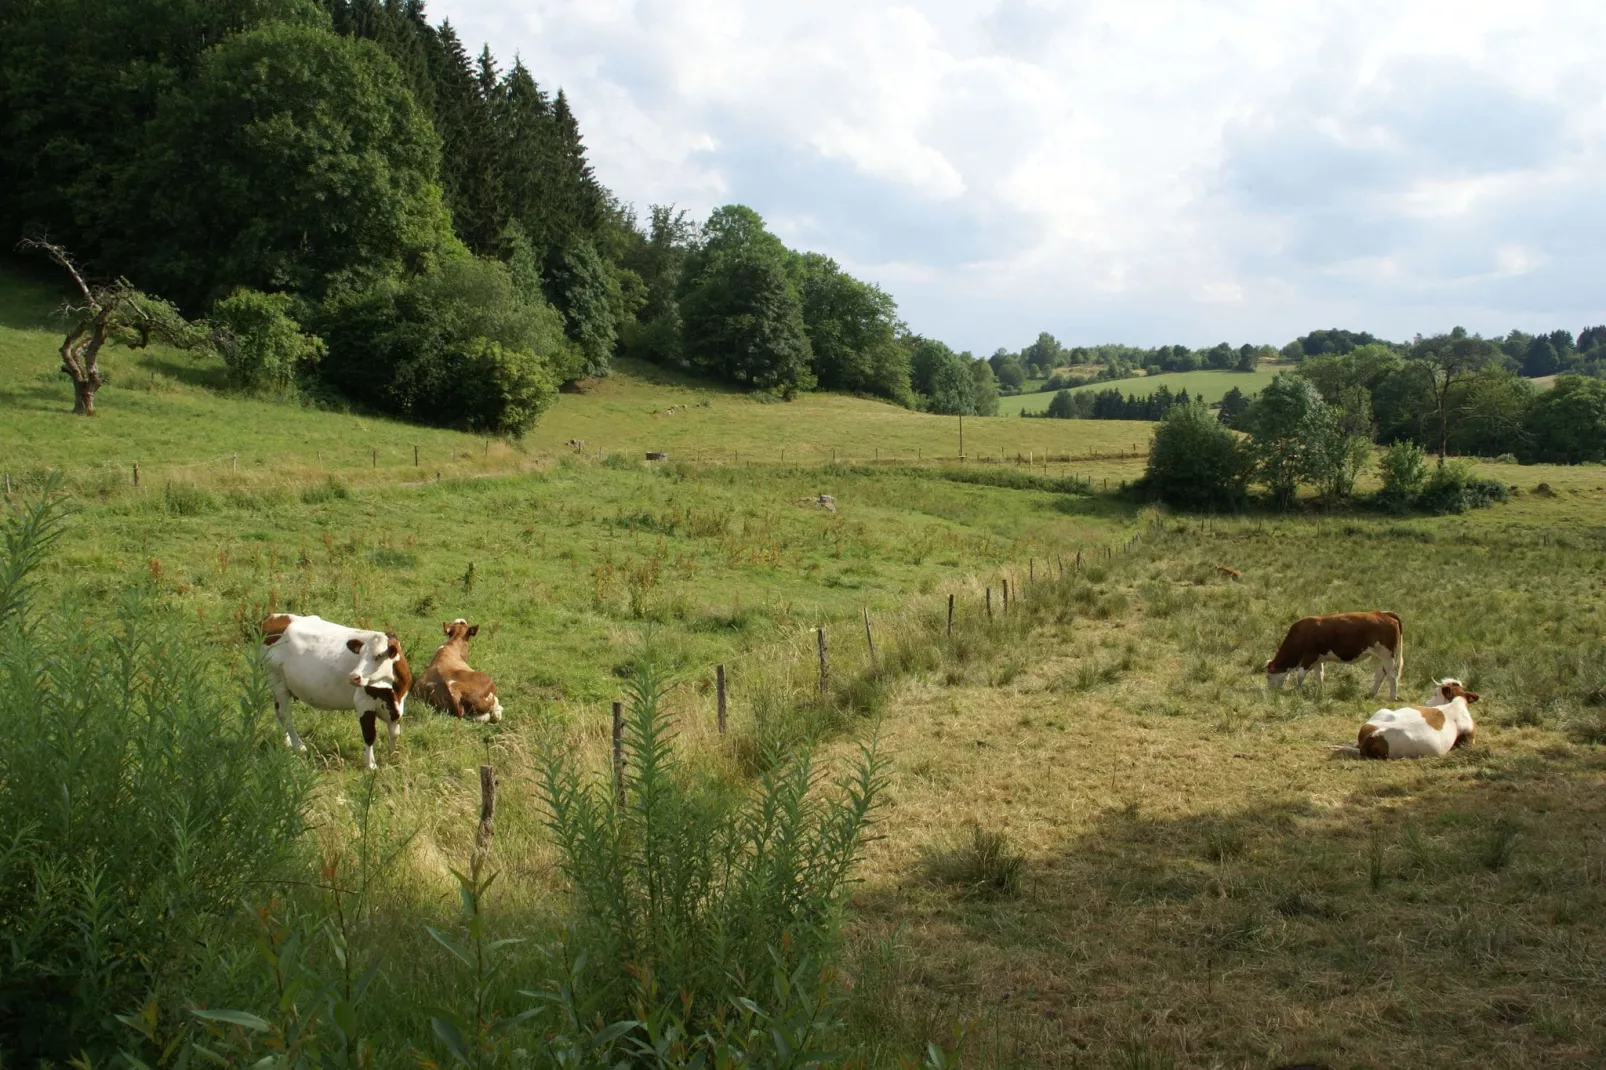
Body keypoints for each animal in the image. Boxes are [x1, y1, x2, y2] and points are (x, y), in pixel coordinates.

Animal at [255, 607, 407, 767]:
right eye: (359, 655)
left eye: (378, 656)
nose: (353, 676)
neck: (393, 691)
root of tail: (272, 617)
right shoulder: (363, 702)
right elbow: (370, 734)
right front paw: (370, 765)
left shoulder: (397, 704)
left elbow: (394, 732)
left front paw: (393, 756)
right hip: (276, 679)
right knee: (285, 714)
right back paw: (299, 746)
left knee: (279, 713)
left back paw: (286, 743)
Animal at [1259, 607, 1400, 700]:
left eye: (1268, 676)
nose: (1271, 691)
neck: (1302, 633)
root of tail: (1383, 614)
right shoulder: (1318, 660)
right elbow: (1319, 676)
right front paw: (1320, 692)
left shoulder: (1309, 657)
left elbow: (1300, 675)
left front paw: (1297, 690)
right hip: (1378, 656)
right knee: (1380, 674)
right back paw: (1371, 694)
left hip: (1387, 656)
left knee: (1392, 676)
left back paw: (1392, 697)